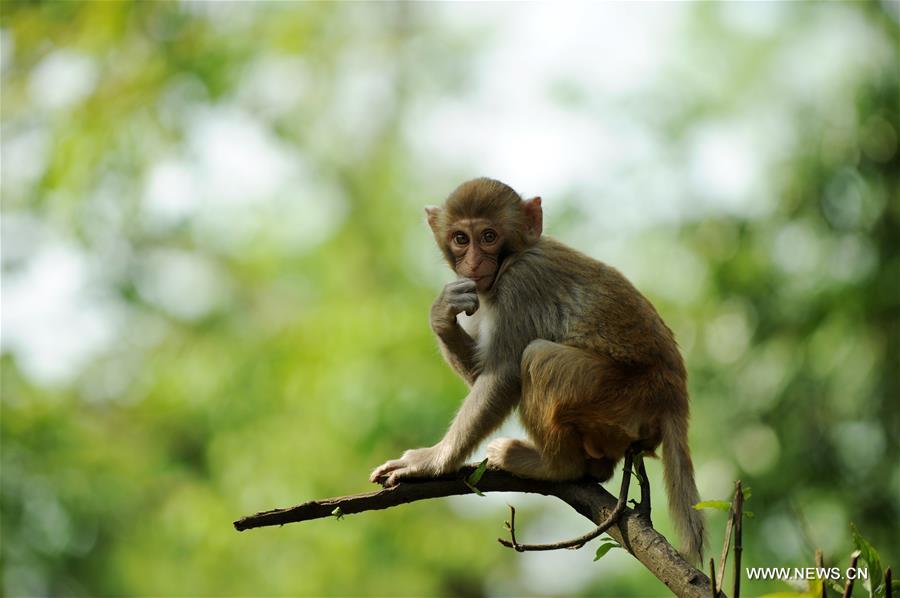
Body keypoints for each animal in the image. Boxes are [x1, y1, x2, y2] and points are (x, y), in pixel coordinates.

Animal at [370, 179, 708, 568]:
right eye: (460, 238)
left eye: (488, 236)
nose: (473, 261)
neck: (514, 256)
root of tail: (674, 396)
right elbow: (484, 371)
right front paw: (441, 314)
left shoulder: (521, 283)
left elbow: (503, 377)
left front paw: (431, 462)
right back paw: (595, 467)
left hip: (622, 397)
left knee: (538, 357)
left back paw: (555, 466)